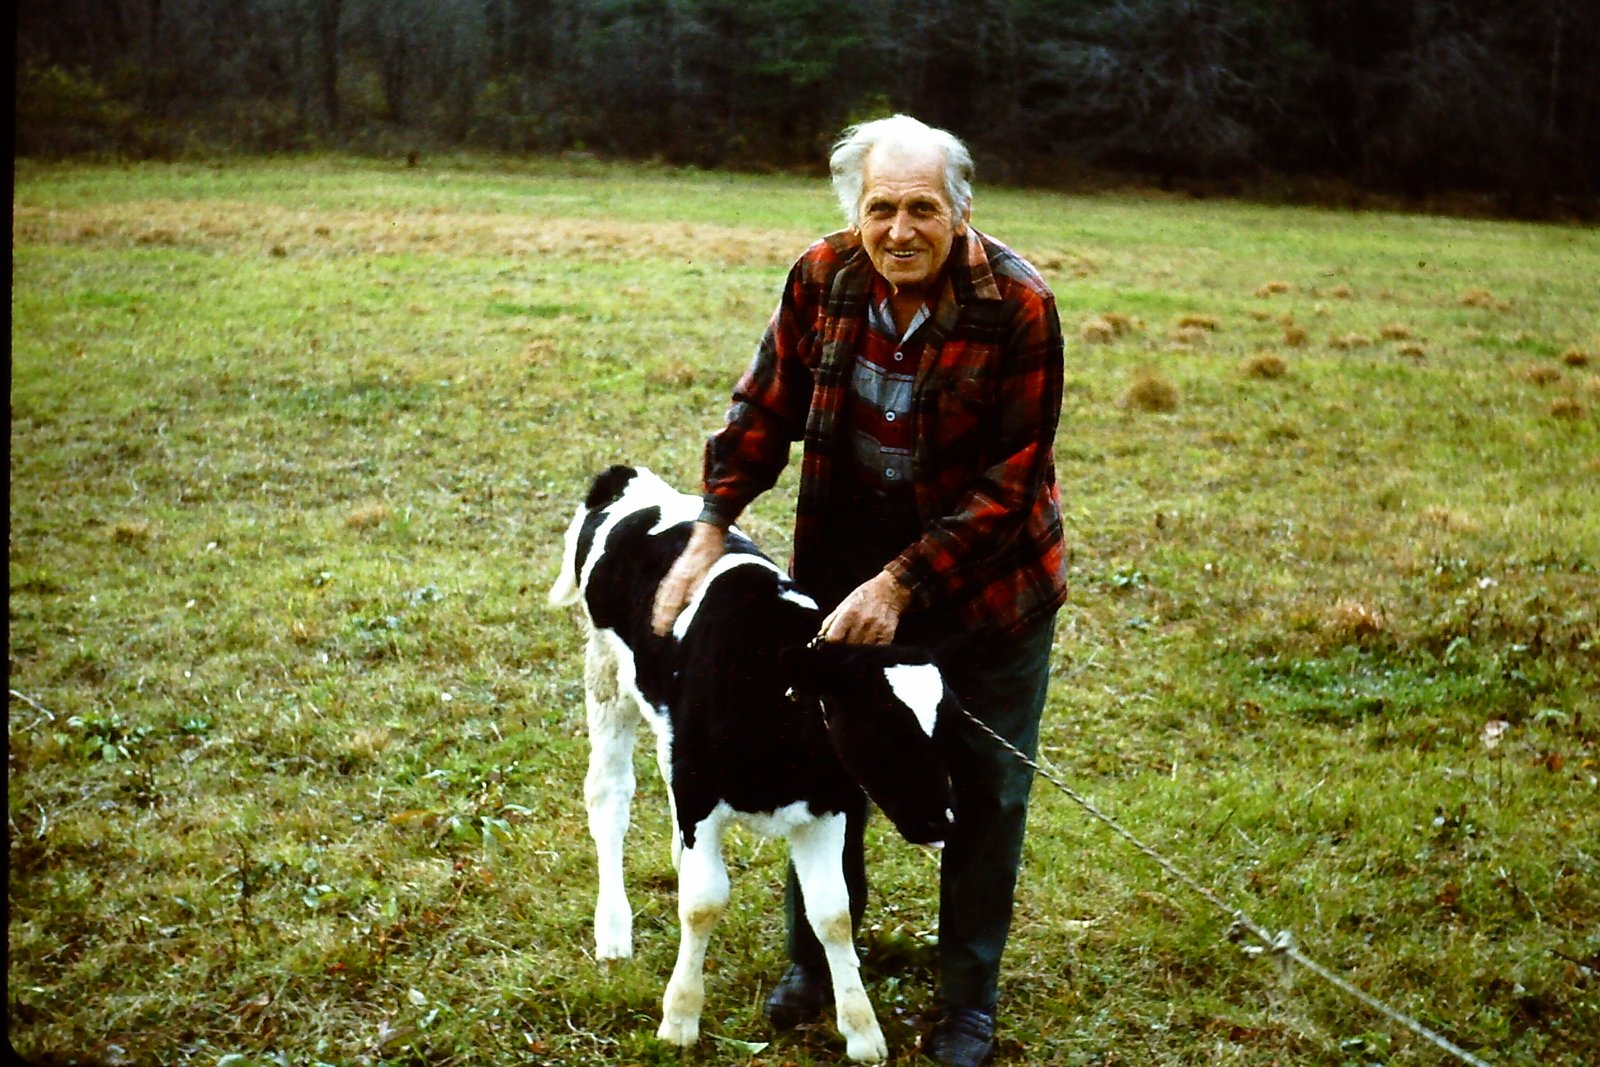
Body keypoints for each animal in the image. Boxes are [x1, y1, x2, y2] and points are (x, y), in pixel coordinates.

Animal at [550, 463, 947, 1062]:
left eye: (945, 723)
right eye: (880, 725)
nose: (941, 822)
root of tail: (630, 483)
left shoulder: (829, 805)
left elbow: (832, 912)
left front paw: (862, 1031)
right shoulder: (699, 794)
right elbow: (703, 903)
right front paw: (680, 1018)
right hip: (606, 677)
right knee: (609, 798)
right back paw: (614, 931)